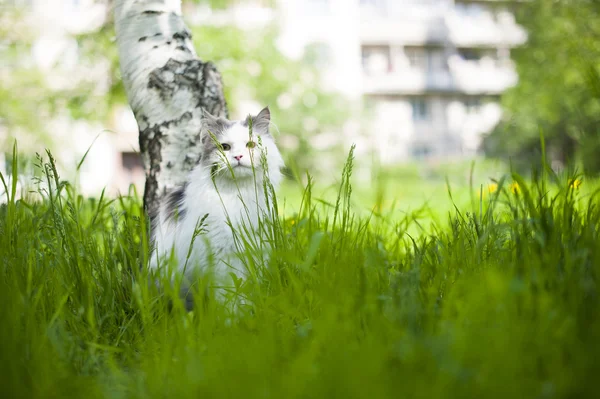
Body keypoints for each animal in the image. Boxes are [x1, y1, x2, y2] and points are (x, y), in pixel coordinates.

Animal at [148, 108, 284, 310]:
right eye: (225, 147)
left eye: (250, 145)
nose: (238, 157)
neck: (237, 194)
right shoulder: (222, 255)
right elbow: (229, 291)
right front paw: (233, 314)